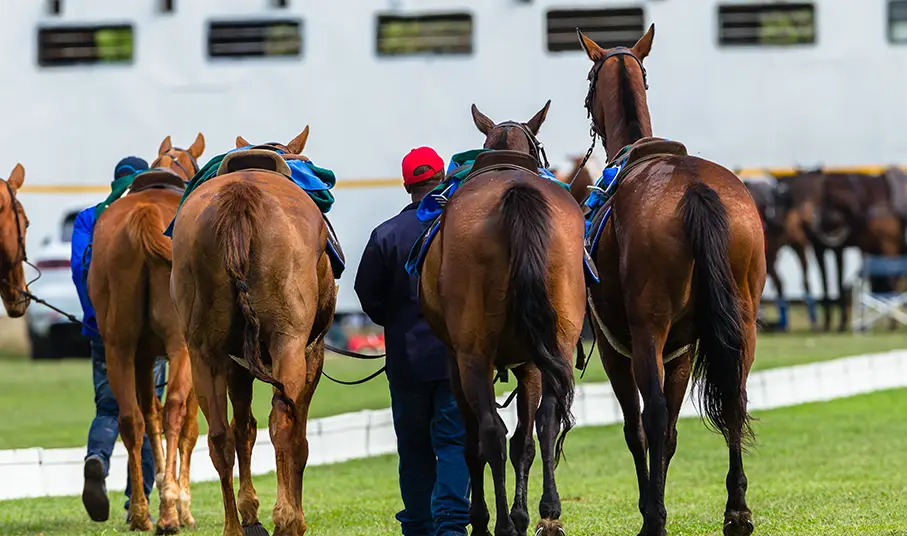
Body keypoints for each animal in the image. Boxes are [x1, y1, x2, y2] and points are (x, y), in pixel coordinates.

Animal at [88, 133, 206, 532]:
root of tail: (145, 216)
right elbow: (188, 427)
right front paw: (182, 504)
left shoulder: (142, 356)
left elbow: (148, 416)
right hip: (181, 346)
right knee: (174, 412)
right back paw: (169, 514)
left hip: (119, 346)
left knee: (131, 419)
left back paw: (141, 513)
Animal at [168, 126, 336, 536]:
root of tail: (240, 197)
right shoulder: (312, 352)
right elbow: (298, 436)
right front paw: (289, 515)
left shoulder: (235, 363)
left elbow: (243, 429)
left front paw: (250, 513)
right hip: (288, 343)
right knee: (283, 423)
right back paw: (287, 519)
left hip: (204, 354)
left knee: (219, 436)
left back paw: (233, 526)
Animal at [420, 101, 588, 536]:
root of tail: (516, 192)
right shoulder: (531, 360)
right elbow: (526, 440)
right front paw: (524, 513)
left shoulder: (456, 360)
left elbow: (477, 444)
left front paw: (496, 517)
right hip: (556, 342)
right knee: (545, 421)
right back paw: (547, 511)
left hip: (472, 356)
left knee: (489, 433)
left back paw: (495, 524)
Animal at [580, 26, 764, 536]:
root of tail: (696, 188)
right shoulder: (681, 350)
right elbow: (675, 430)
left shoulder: (615, 347)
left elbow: (639, 428)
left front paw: (650, 506)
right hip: (743, 326)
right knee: (735, 399)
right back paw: (737, 510)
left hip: (646, 333)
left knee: (653, 416)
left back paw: (657, 519)